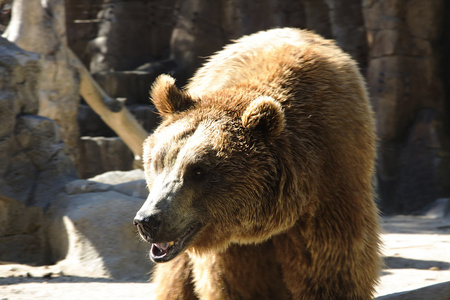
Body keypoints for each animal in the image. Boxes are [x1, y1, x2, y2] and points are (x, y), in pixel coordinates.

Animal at [134, 27, 384, 298]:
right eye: (158, 162)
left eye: (198, 171)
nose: (147, 220)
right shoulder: (230, 249)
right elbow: (233, 283)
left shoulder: (330, 186)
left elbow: (330, 271)